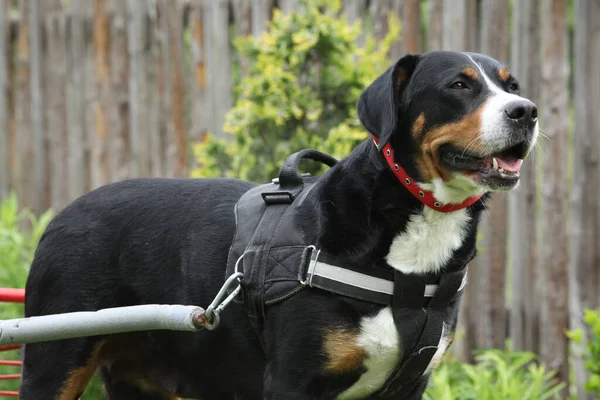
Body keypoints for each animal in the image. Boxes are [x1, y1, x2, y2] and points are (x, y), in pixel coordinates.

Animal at [21, 50, 540, 400]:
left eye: (511, 85)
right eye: (459, 85)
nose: (527, 111)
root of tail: (63, 213)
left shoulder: (409, 383)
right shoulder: (294, 379)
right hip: (54, 361)